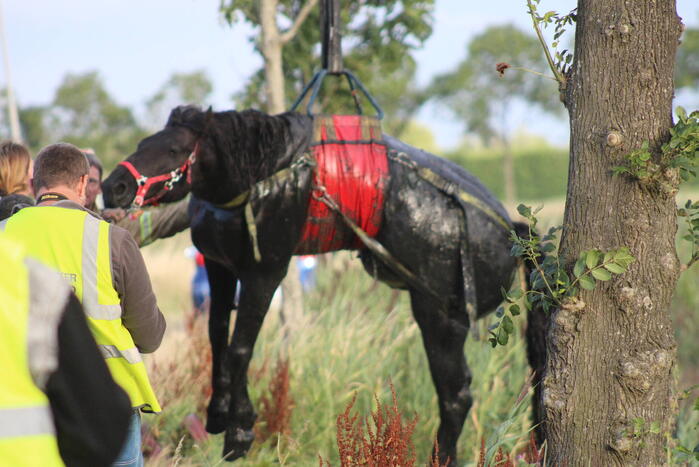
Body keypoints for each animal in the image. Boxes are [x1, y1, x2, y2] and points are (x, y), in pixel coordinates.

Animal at [103, 105, 544, 466]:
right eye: (143, 142)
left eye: (175, 148)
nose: (114, 187)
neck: (263, 174)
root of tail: (510, 230)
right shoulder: (220, 267)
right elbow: (217, 337)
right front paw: (218, 412)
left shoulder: (266, 270)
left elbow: (241, 346)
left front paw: (240, 429)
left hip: (439, 316)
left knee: (456, 395)